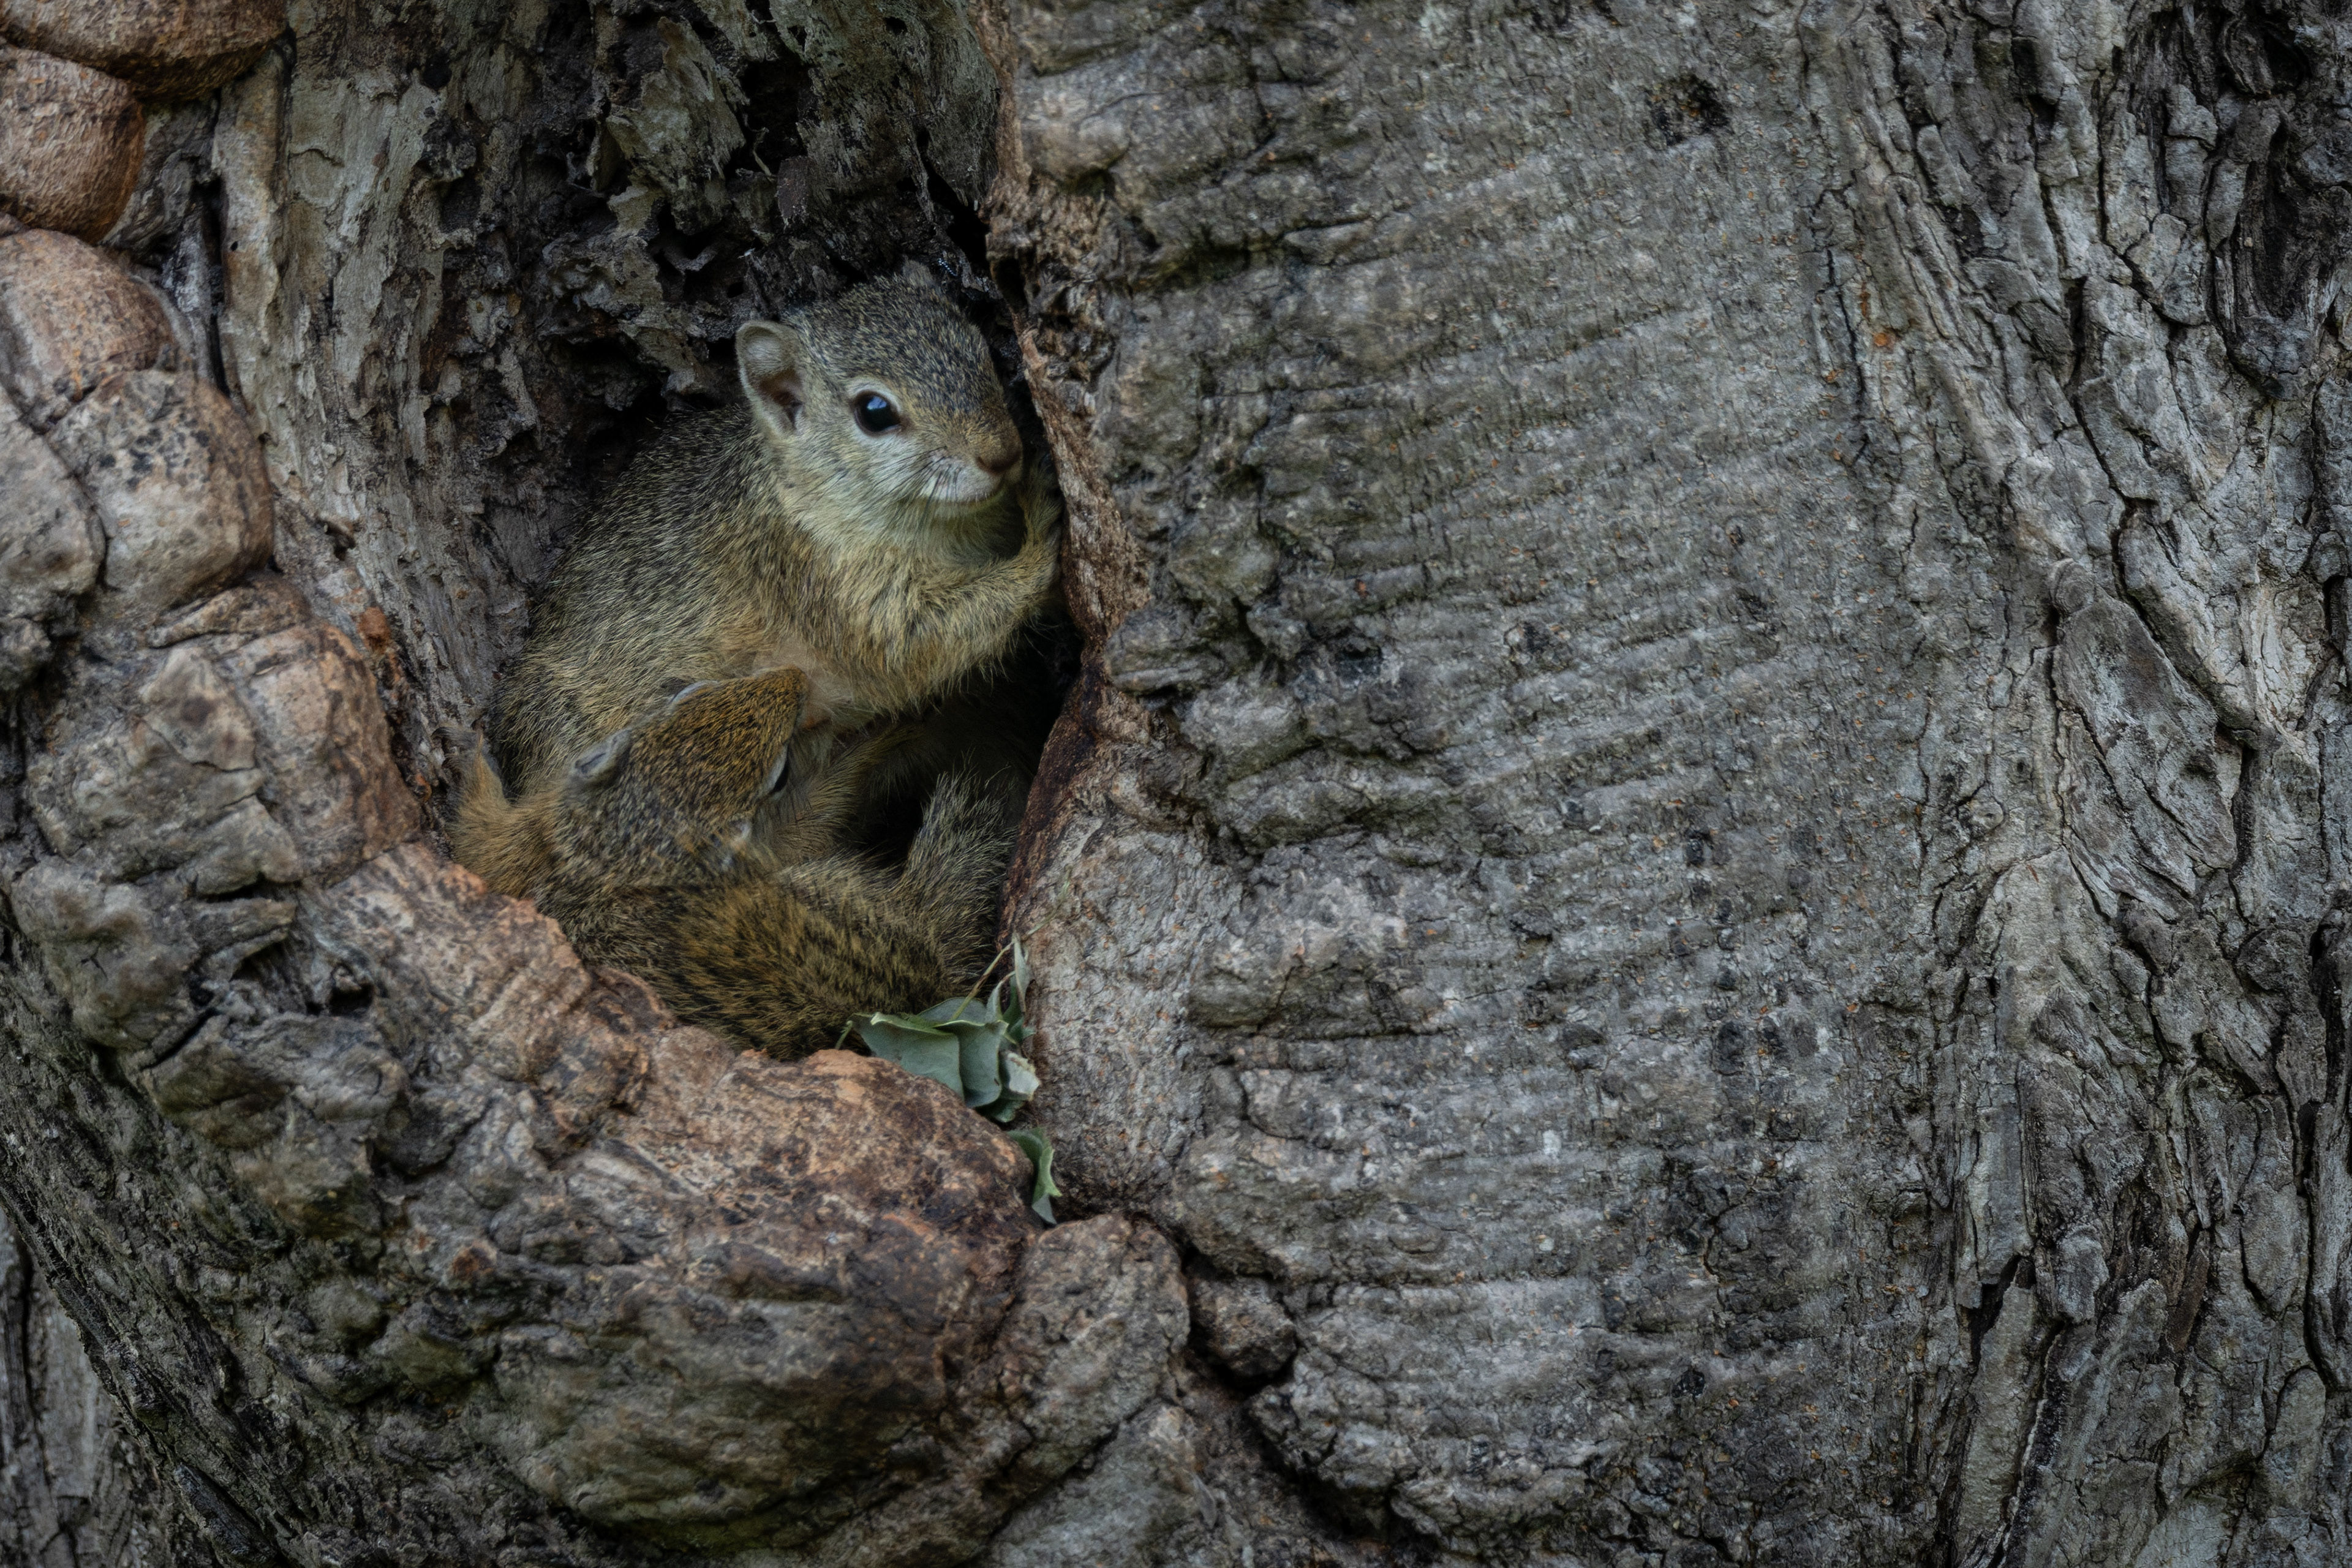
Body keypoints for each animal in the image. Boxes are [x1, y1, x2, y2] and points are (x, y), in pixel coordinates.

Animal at [454, 669, 1011, 1058]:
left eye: (691, 695)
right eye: (780, 776)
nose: (796, 676)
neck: (623, 854)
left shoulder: (535, 835)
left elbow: (478, 846)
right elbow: (821, 811)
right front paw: (885, 736)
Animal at [487, 264, 1064, 814]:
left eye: (980, 353)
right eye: (874, 412)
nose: (1003, 454)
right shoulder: (815, 577)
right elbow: (910, 642)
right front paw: (1043, 536)